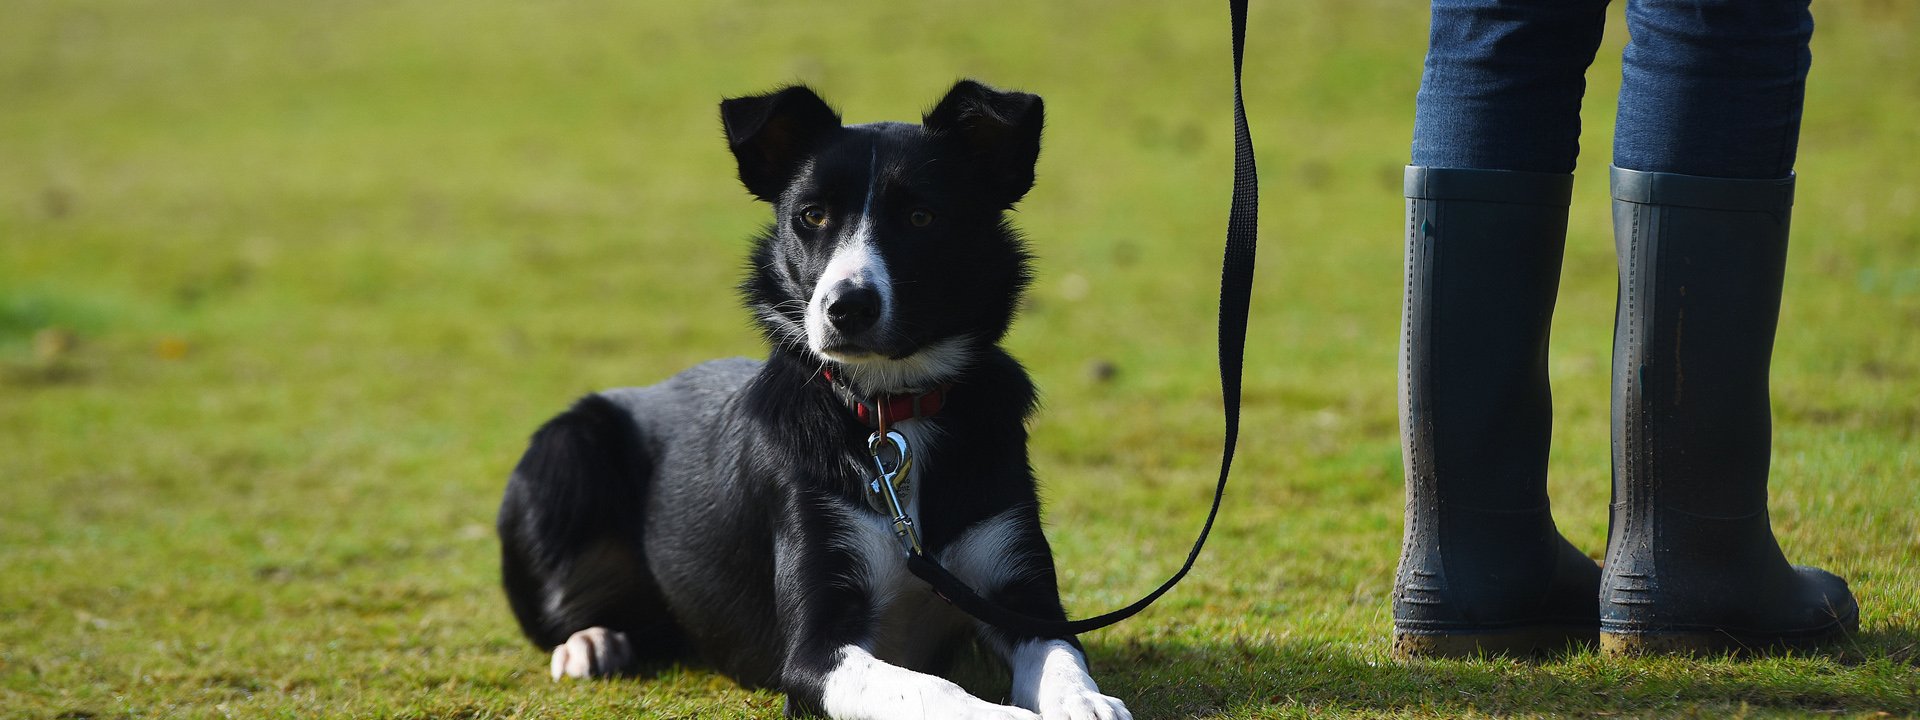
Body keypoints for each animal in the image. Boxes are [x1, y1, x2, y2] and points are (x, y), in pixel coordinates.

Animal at [495, 80, 1128, 720]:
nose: (848, 307)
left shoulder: (1019, 595)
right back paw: (590, 641)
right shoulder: (815, 650)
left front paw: (1088, 703)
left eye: (921, 216)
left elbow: (1062, 660)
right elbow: (934, 689)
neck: (888, 408)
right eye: (812, 216)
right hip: (566, 446)